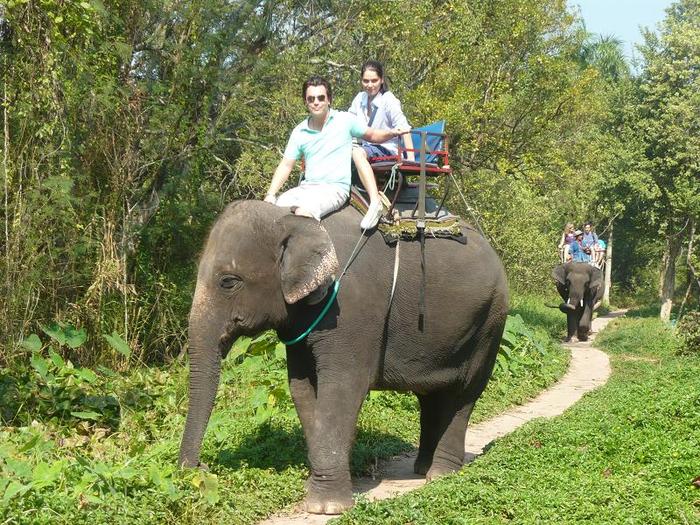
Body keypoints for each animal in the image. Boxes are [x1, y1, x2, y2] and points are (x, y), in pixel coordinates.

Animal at [179, 200, 508, 512]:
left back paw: (441, 474)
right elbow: (302, 387)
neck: (290, 216)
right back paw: (422, 469)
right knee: (432, 396)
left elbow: (342, 387)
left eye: (229, 281)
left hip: (490, 324)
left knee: (463, 394)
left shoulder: (350, 307)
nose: (200, 469)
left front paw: (325, 506)